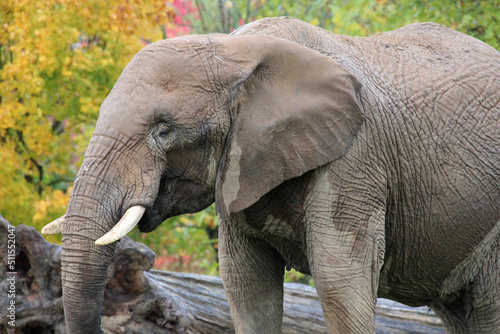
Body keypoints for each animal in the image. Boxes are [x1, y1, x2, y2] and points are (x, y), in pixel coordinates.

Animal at [44, 16, 500, 334]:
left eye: (163, 129)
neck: (235, 50)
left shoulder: (355, 157)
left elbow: (338, 280)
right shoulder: (240, 168)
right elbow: (246, 284)